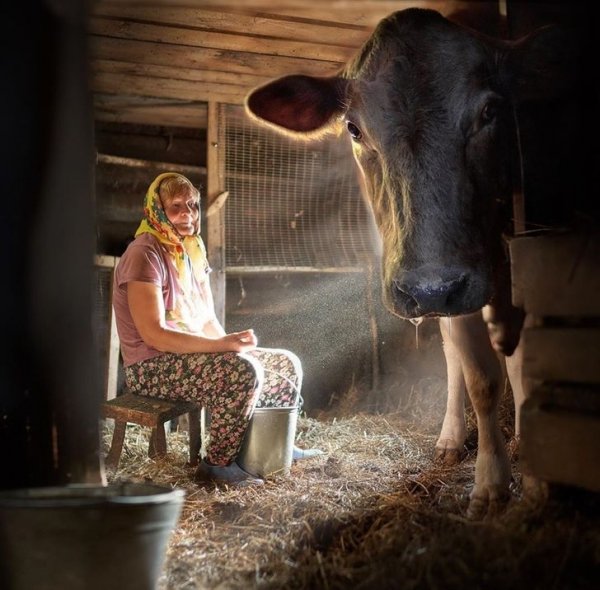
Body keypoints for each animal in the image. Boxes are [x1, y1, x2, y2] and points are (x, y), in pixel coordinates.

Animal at [246, 8, 580, 520]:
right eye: (354, 128)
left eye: (490, 112)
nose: (429, 289)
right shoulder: (460, 281)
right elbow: (480, 376)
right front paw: (490, 484)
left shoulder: (522, 249)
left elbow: (527, 355)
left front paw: (534, 460)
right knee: (452, 354)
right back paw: (450, 438)